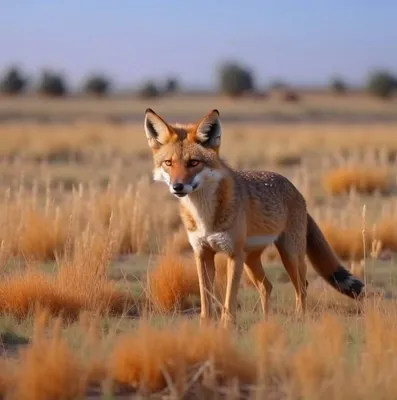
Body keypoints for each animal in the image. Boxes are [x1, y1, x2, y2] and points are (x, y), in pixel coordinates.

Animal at [143, 108, 366, 326]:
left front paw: (227, 328)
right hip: (251, 260)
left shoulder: (234, 255)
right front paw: (206, 329)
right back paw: (266, 323)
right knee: (267, 286)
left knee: (302, 287)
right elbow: (206, 303)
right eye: (169, 163)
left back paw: (299, 320)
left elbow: (229, 302)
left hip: (290, 256)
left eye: (193, 163)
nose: (177, 187)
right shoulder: (202, 253)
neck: (205, 217)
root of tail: (296, 191)